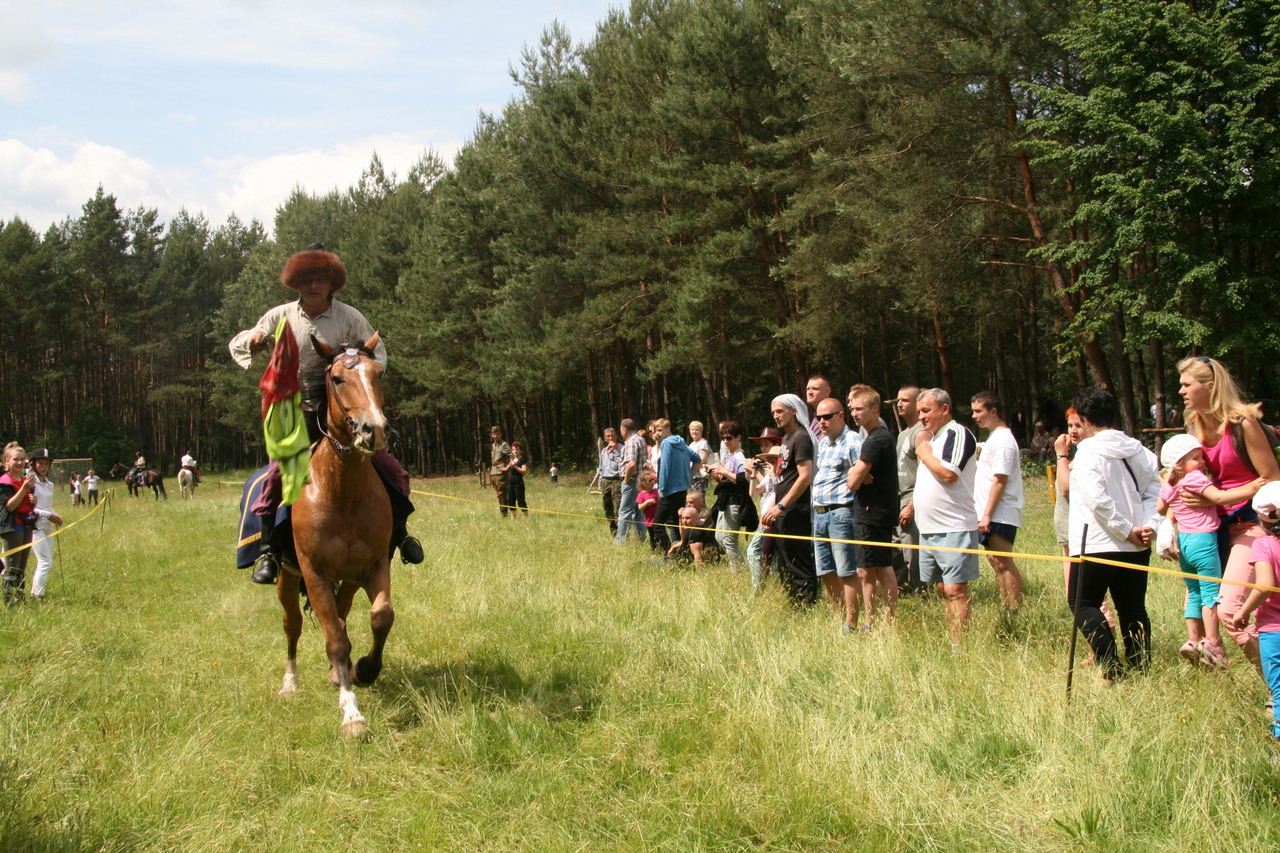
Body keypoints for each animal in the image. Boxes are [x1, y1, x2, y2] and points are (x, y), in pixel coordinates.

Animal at [280, 327, 394, 732]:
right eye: (338, 379)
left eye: (378, 374)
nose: (374, 429)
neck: (341, 491)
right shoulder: (314, 574)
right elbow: (334, 639)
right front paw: (351, 711)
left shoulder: (374, 566)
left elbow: (381, 617)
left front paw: (366, 669)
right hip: (286, 579)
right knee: (293, 624)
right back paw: (289, 682)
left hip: (348, 579)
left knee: (342, 616)